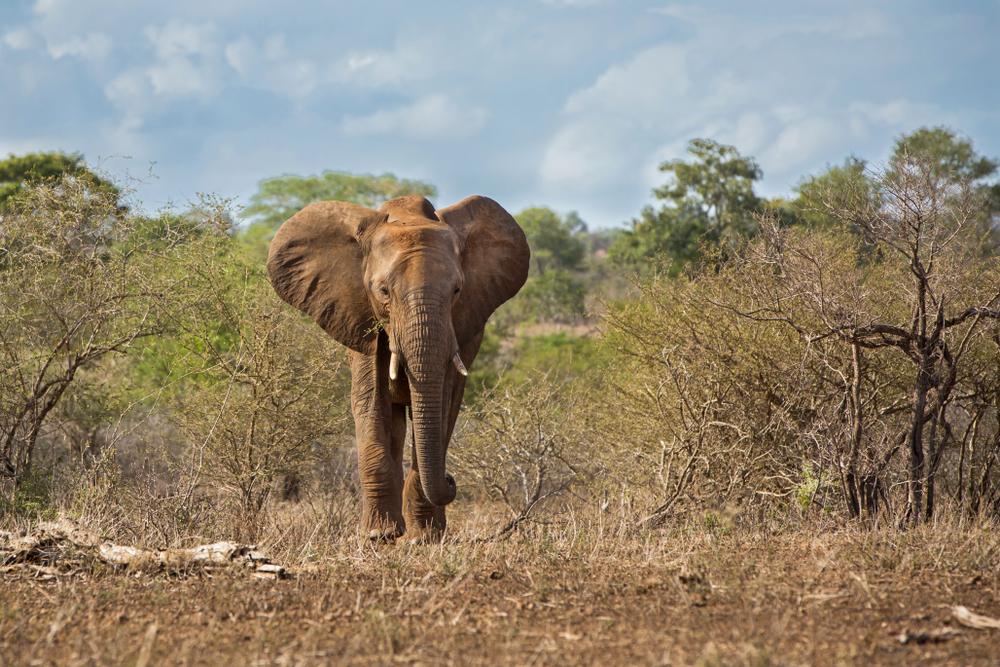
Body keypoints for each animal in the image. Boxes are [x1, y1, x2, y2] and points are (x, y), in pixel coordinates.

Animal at [266, 193, 532, 544]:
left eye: (457, 291)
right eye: (383, 291)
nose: (451, 480)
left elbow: (440, 405)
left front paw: (423, 538)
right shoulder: (361, 317)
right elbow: (370, 401)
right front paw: (378, 535)